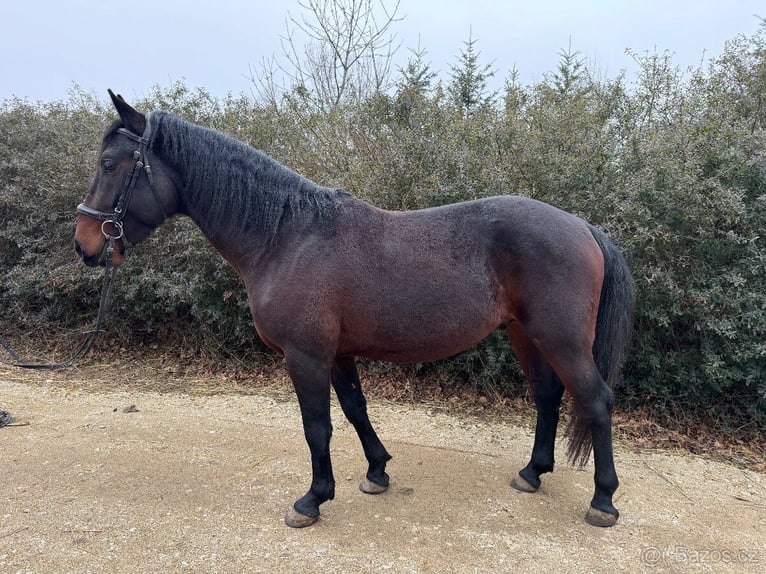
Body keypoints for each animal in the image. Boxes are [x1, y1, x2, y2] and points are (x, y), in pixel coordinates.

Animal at [75, 93, 632, 532]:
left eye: (109, 164)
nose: (84, 244)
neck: (285, 237)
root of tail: (582, 226)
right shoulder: (337, 353)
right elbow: (355, 410)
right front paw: (376, 472)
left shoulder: (305, 355)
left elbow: (317, 426)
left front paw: (312, 500)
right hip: (525, 334)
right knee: (548, 396)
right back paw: (532, 472)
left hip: (560, 338)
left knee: (596, 400)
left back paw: (603, 500)